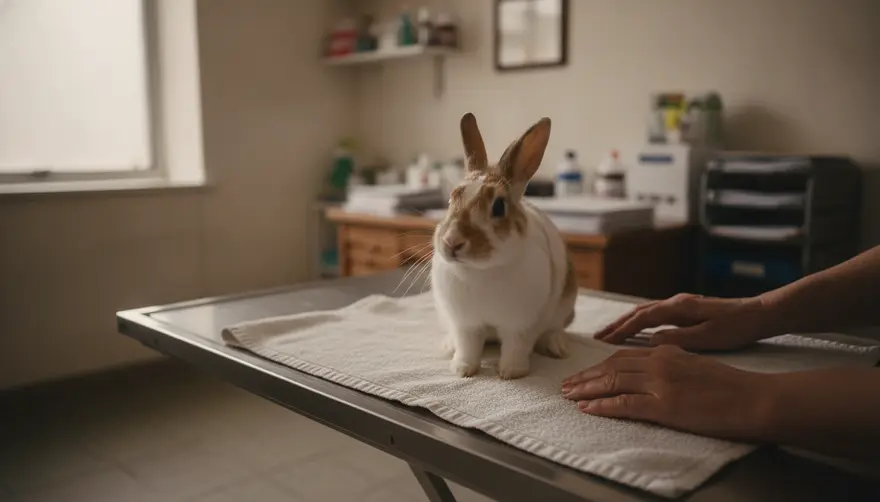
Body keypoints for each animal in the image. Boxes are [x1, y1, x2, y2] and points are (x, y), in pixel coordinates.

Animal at [431, 113, 578, 379]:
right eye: (450, 199)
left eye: (499, 206)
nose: (451, 242)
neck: (481, 271)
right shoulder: (465, 324)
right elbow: (467, 346)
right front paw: (462, 369)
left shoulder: (520, 325)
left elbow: (515, 347)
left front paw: (511, 373)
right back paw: (447, 346)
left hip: (565, 307)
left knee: (554, 329)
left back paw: (557, 347)